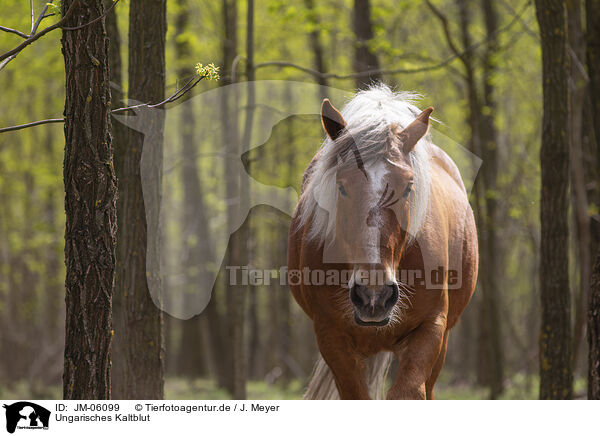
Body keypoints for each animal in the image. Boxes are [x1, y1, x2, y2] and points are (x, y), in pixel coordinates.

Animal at [288, 84, 480, 398]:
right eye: (342, 186)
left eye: (408, 187)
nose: (373, 295)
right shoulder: (331, 335)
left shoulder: (432, 328)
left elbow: (409, 392)